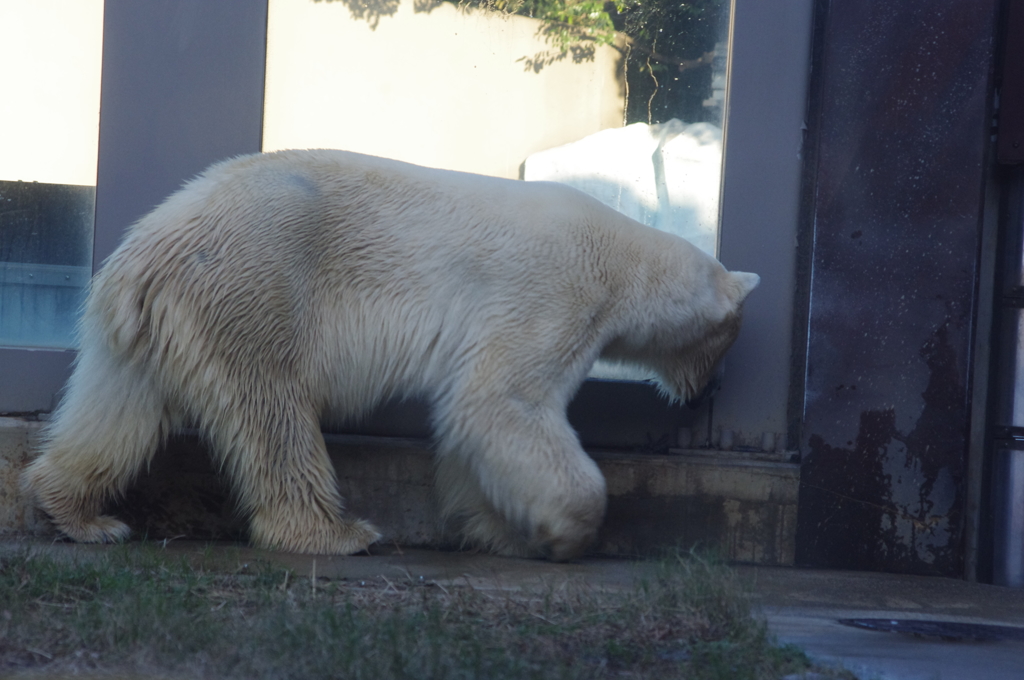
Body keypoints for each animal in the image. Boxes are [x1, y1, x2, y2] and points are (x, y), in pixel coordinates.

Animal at [22, 151, 761, 561]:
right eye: (729, 336)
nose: (708, 391)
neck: (622, 257)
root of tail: (146, 251)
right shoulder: (552, 294)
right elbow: (502, 401)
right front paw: (566, 533)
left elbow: (467, 425)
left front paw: (497, 530)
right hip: (255, 287)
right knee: (273, 412)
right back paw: (337, 532)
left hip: (152, 325)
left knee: (116, 410)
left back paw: (79, 514)